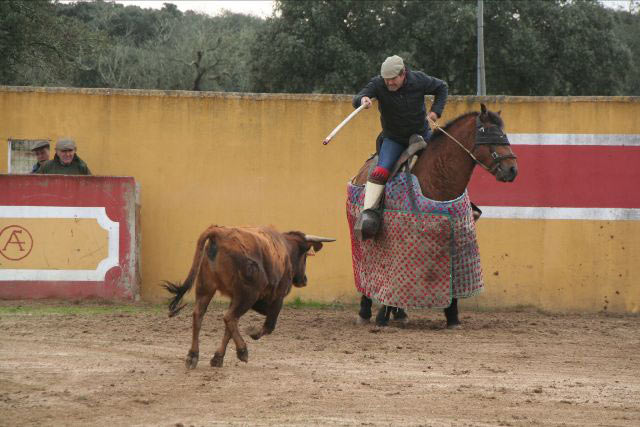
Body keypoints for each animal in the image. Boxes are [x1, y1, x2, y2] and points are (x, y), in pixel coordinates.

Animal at [162, 226, 336, 370]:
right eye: (305, 256)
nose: (304, 280)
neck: (285, 249)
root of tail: (219, 233)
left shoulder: (235, 297)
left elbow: (229, 330)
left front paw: (218, 358)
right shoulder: (277, 297)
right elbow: (269, 326)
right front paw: (252, 333)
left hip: (206, 287)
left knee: (200, 315)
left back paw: (193, 356)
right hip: (248, 294)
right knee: (229, 317)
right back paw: (242, 351)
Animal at [350, 103, 520, 328]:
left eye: (503, 133)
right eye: (486, 132)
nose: (511, 170)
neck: (439, 178)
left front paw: (452, 316)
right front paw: (382, 315)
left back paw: (400, 312)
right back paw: (366, 311)